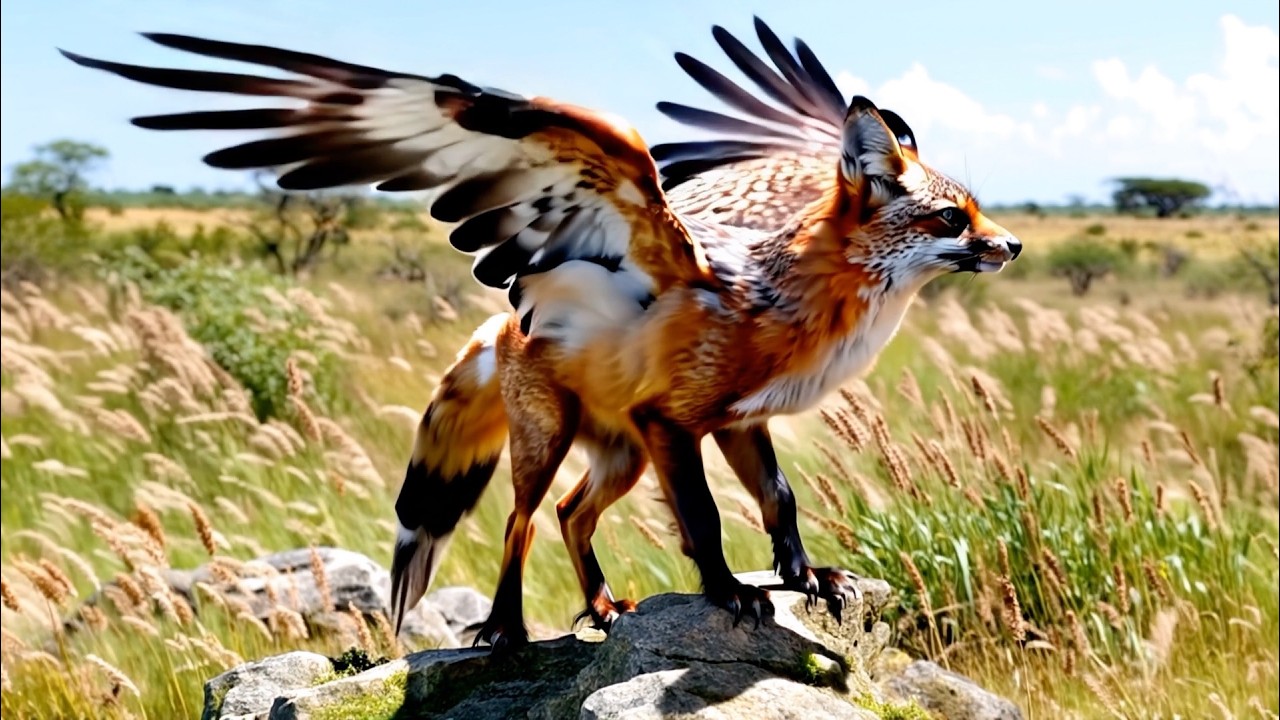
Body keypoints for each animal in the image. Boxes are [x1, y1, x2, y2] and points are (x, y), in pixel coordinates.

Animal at [62, 16, 1020, 651]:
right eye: (951, 218)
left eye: (976, 212)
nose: (1009, 244)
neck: (779, 298)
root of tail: (511, 323)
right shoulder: (678, 421)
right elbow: (708, 523)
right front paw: (726, 594)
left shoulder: (738, 419)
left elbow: (780, 504)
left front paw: (804, 576)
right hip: (555, 439)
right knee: (522, 524)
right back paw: (506, 629)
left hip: (617, 454)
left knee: (568, 515)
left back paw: (601, 608)